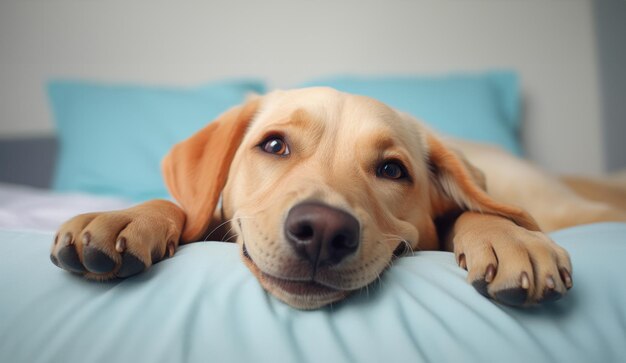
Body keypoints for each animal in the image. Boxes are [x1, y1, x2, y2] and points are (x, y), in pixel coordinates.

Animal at [50, 87, 624, 310]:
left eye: (392, 170)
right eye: (274, 145)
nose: (323, 231)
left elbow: (469, 216)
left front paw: (508, 238)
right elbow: (183, 210)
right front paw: (127, 217)